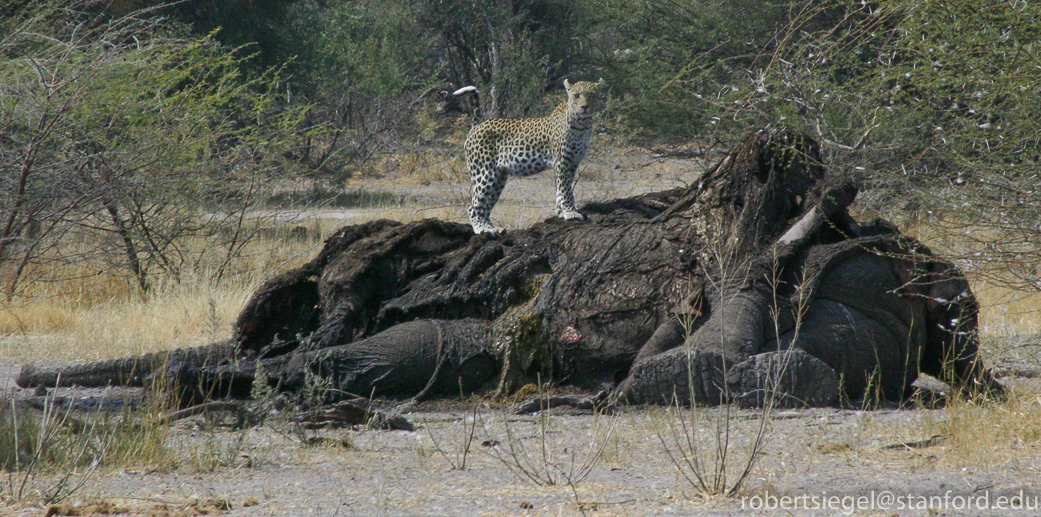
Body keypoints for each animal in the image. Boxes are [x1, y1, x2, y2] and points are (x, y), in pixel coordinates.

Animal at [462, 78, 603, 234]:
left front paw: (560, 211)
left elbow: (562, 189)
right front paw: (570, 213)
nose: (584, 107)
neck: (582, 125)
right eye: (577, 95)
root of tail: (476, 127)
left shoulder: (573, 162)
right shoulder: (562, 161)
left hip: (499, 178)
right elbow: (566, 188)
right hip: (485, 173)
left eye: (592, 95)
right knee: (473, 207)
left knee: (485, 208)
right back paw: (482, 229)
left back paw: (493, 229)